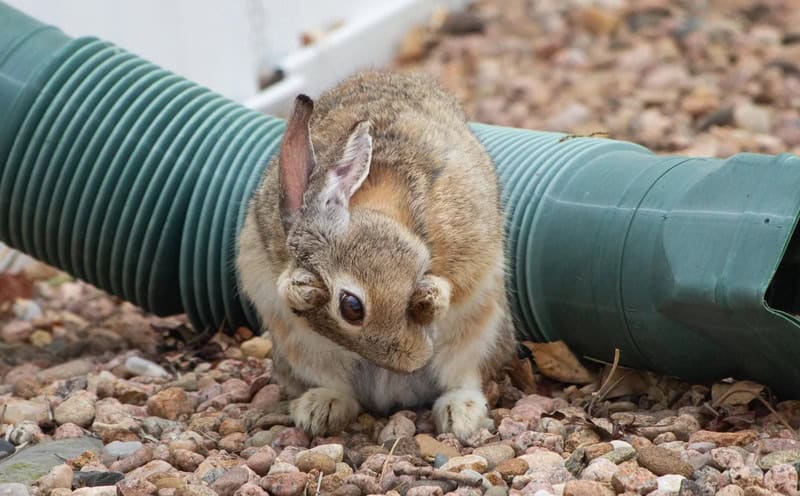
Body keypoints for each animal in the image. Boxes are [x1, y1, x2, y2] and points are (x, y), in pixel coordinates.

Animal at [237, 70, 516, 442]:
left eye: (352, 307)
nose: (411, 362)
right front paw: (298, 287)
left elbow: (456, 282)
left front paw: (432, 295)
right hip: (298, 350)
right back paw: (319, 410)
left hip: (481, 333)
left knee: (464, 378)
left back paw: (460, 416)